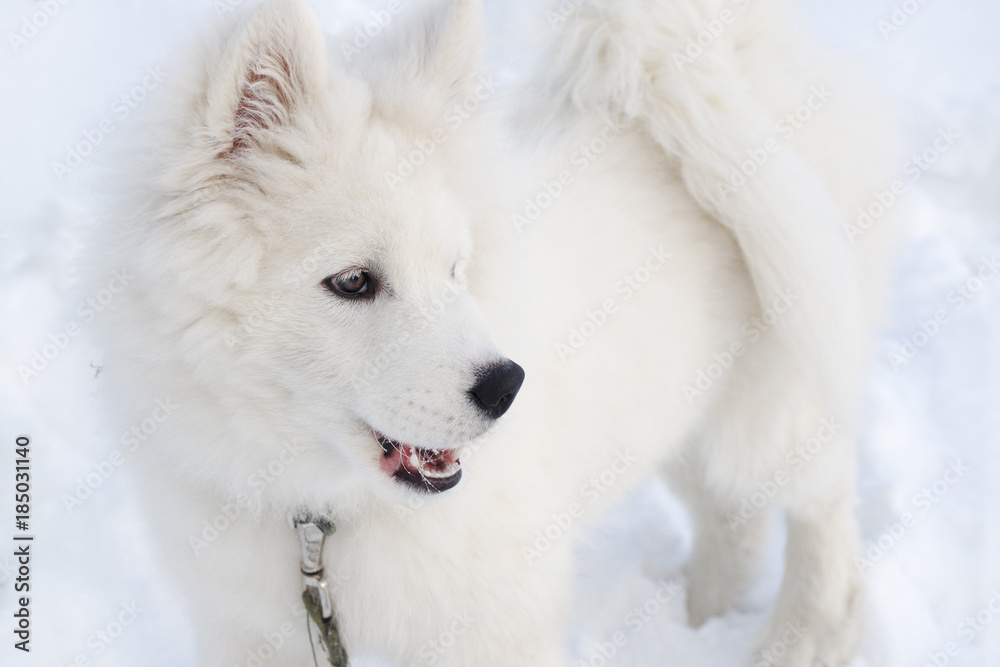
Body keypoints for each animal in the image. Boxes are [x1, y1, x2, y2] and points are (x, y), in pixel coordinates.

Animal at [92, 0, 892, 664]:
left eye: (455, 268)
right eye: (352, 282)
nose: (508, 386)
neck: (325, 513)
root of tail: (734, 51)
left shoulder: (498, 626)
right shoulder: (253, 632)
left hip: (774, 396)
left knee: (821, 510)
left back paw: (805, 638)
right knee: (734, 516)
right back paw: (703, 618)